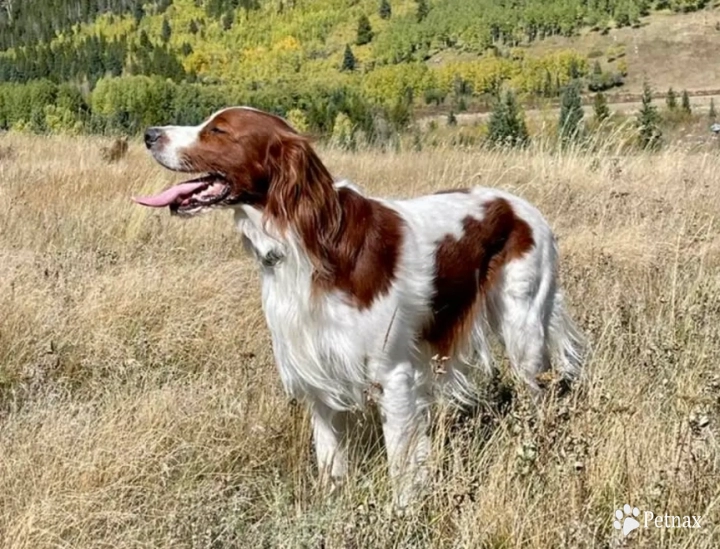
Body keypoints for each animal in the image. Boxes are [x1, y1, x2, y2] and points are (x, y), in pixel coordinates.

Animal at [136, 105, 584, 508]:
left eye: (219, 130)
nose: (149, 133)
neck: (307, 240)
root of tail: (524, 208)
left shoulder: (394, 376)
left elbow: (401, 462)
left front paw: (405, 515)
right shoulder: (317, 374)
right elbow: (331, 462)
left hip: (524, 332)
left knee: (538, 397)